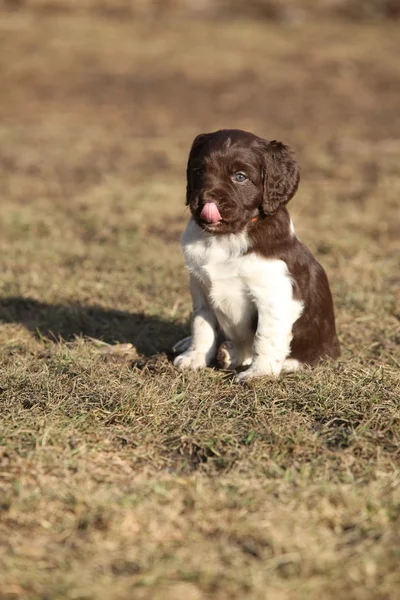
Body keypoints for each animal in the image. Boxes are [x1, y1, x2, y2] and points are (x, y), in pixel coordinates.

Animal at [173, 127, 340, 380]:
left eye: (240, 176)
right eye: (200, 171)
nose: (205, 200)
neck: (226, 238)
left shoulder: (274, 295)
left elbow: (265, 337)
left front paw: (259, 374)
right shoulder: (200, 287)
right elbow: (201, 325)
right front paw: (194, 357)